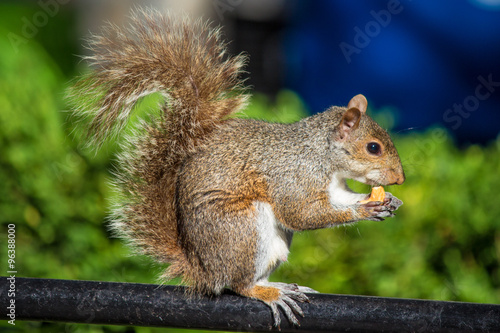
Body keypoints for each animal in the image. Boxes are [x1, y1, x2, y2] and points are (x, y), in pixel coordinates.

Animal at [70, 7, 404, 326]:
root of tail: (202, 269)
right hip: (242, 228)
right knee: (239, 284)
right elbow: (301, 214)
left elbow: (340, 199)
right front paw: (366, 209)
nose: (400, 179)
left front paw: (385, 201)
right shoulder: (295, 176)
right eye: (373, 147)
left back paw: (279, 286)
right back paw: (268, 293)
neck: (322, 154)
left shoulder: (332, 186)